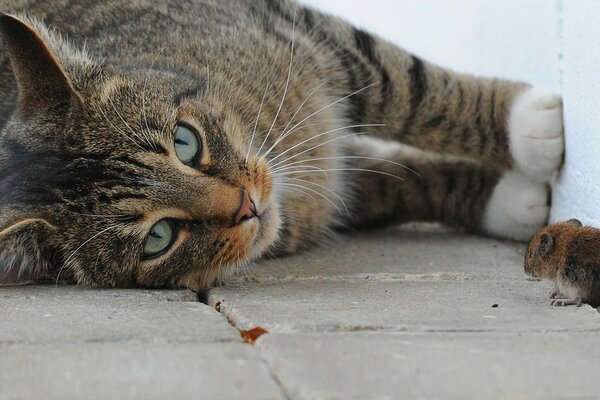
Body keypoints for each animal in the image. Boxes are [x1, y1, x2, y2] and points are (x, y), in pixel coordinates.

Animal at [0, 0, 564, 290]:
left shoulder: (301, 31)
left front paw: (523, 122)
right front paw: (513, 198)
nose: (247, 206)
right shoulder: (337, 194)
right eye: (158, 238)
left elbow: (409, 86)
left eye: (185, 142)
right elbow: (402, 183)